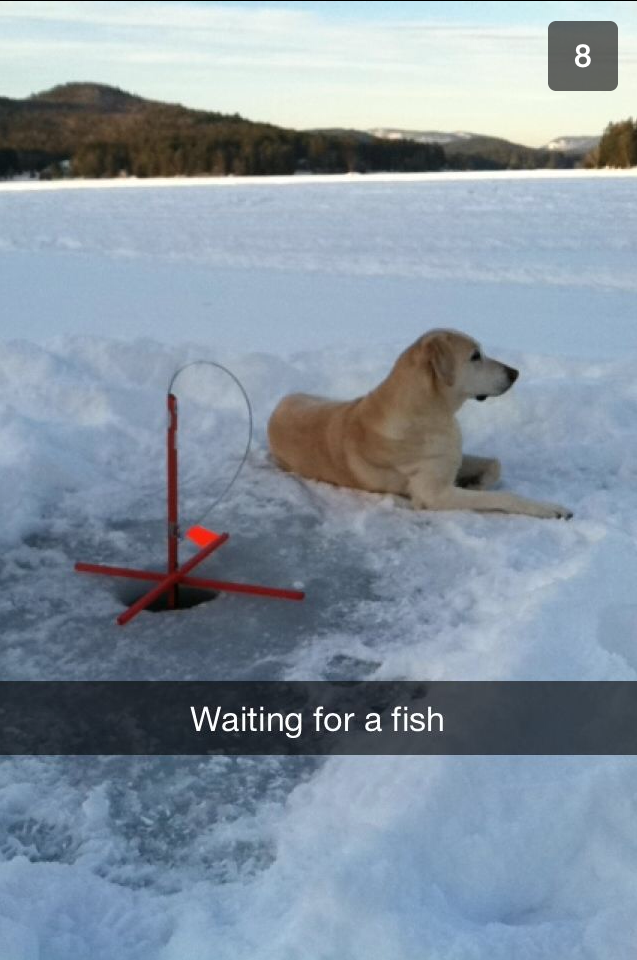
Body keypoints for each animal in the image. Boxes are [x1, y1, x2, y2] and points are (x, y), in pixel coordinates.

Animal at [268, 332, 572, 524]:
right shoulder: (435, 494)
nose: (515, 373)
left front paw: (474, 482)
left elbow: (495, 464)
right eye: (475, 356)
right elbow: (506, 496)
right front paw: (552, 509)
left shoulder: (450, 458)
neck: (430, 409)